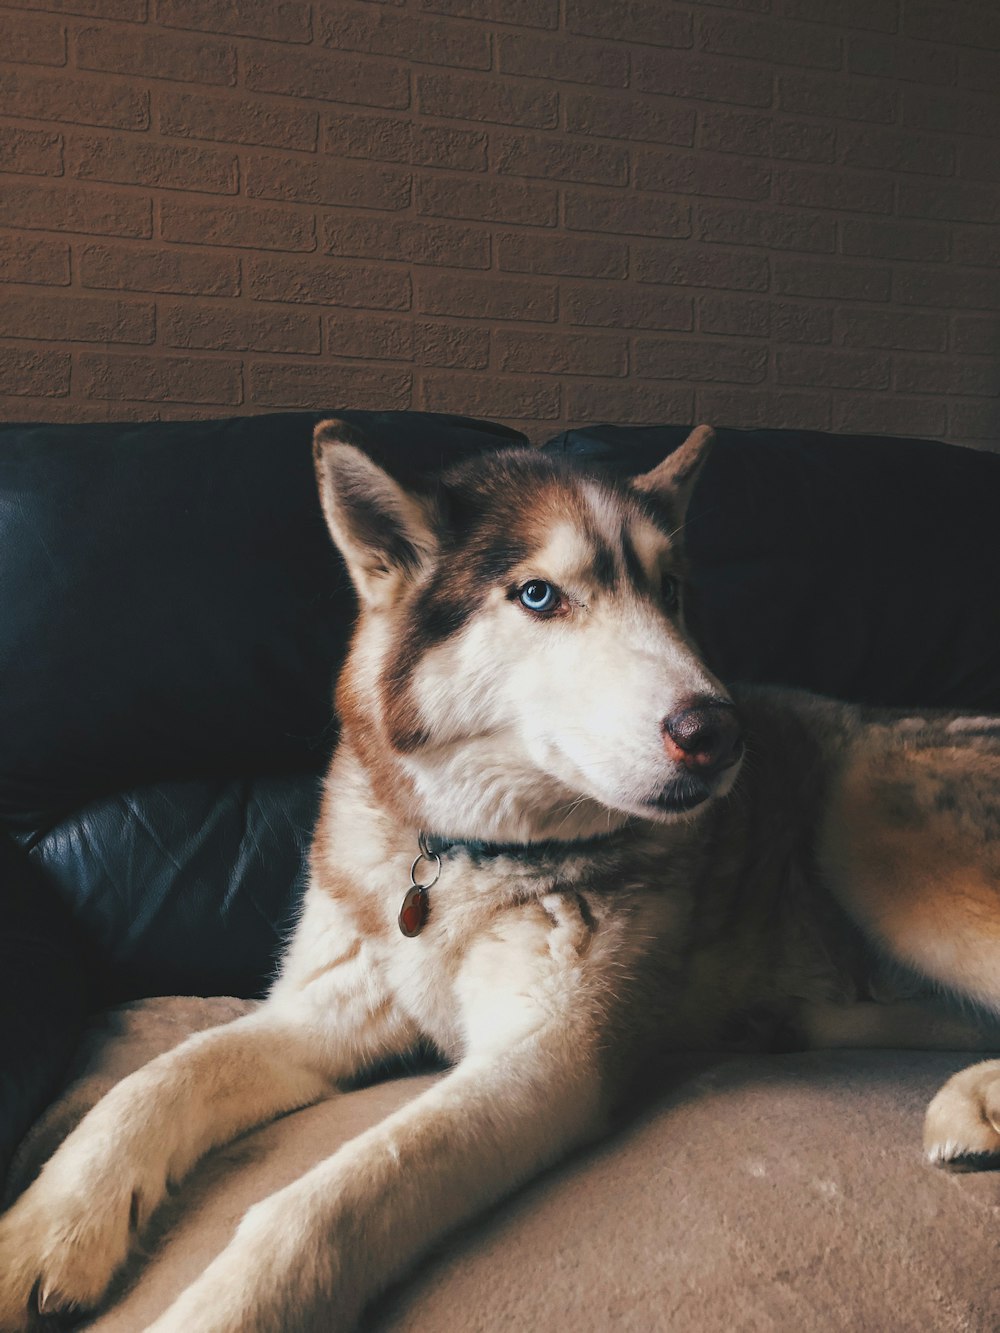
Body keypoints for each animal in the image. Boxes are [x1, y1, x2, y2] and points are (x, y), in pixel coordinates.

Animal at [1, 418, 1000, 1333]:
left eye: (670, 591)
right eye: (537, 594)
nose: (721, 732)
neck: (465, 854)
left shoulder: (545, 1060)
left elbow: (330, 1195)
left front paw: (223, 1307)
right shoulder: (327, 1007)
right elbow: (152, 1081)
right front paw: (46, 1229)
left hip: (861, 817)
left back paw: (967, 1099)